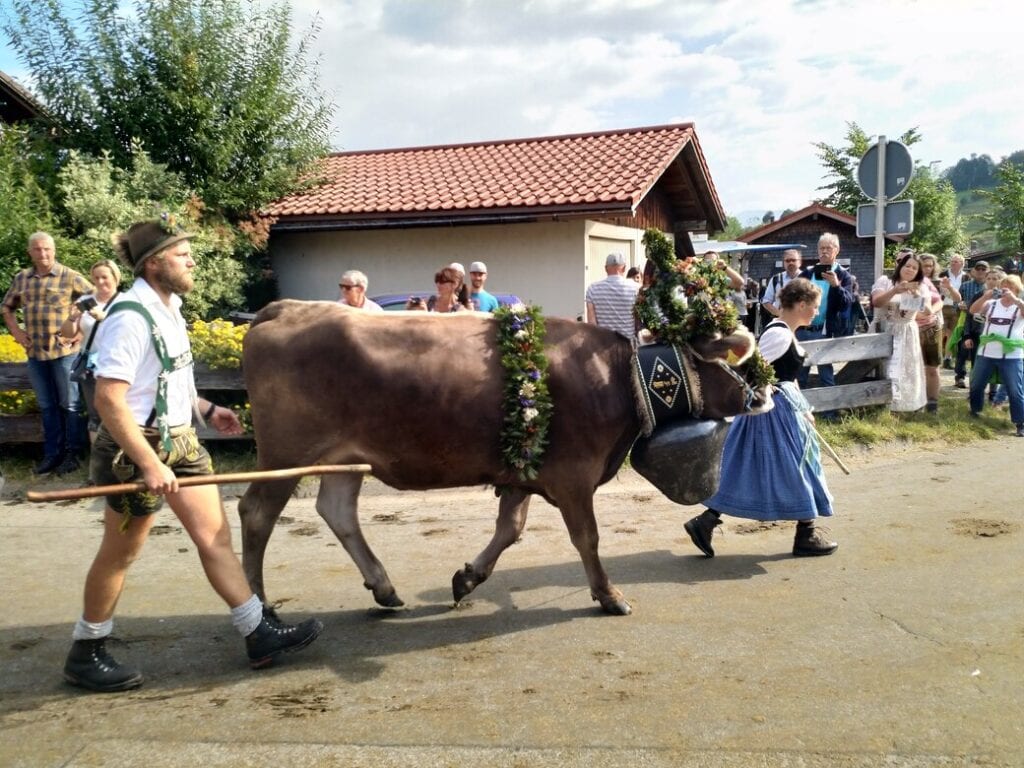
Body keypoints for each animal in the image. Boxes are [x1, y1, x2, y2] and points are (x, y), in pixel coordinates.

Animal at [235, 296, 765, 618]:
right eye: (737, 358)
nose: (763, 394)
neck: (617, 376)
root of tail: (285, 308)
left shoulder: (525, 466)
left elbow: (510, 529)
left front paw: (467, 579)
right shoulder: (574, 475)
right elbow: (588, 538)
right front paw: (608, 595)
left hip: (342, 458)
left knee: (337, 511)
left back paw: (383, 587)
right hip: (287, 452)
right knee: (256, 513)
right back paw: (260, 606)